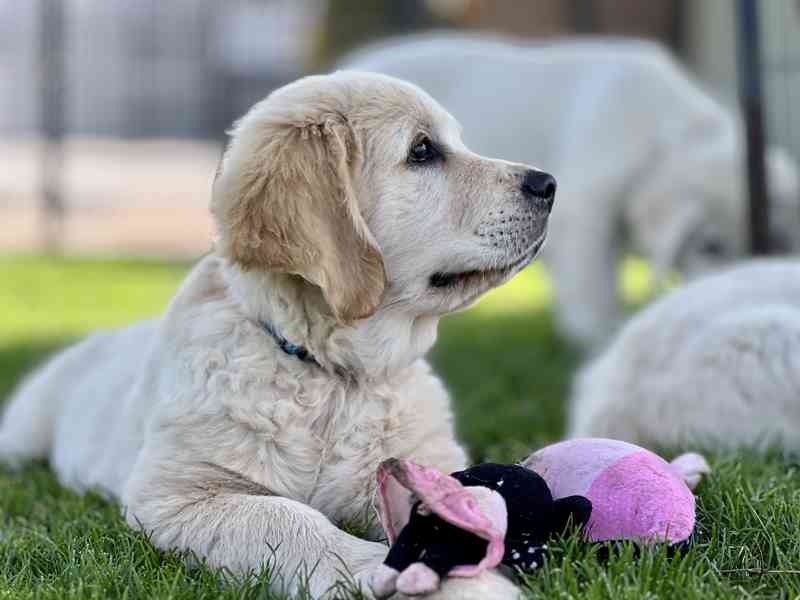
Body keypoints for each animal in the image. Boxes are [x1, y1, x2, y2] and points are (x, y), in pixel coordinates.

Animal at [0, 71, 556, 600]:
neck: (334, 374)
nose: (548, 183)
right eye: (421, 150)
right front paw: (380, 569)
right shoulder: (180, 491)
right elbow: (287, 517)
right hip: (25, 429)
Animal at [342, 32, 800, 350]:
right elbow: (593, 283)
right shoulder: (588, 211)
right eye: (710, 247)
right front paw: (599, 336)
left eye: (772, 244)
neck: (665, 139)